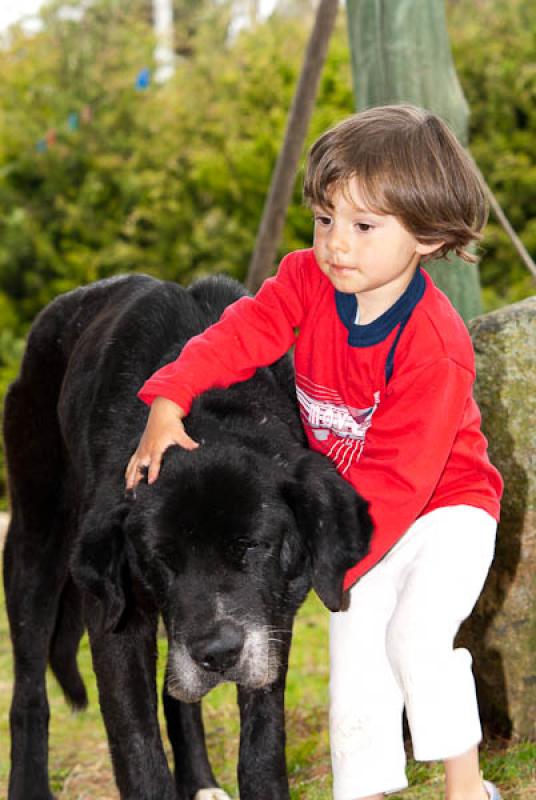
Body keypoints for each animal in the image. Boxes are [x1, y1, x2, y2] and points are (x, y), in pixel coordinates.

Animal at [3, 276, 372, 800]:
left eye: (251, 546)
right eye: (162, 559)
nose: (217, 654)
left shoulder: (274, 615)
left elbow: (262, 741)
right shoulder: (116, 619)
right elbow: (136, 744)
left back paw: (201, 783)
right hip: (35, 543)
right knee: (29, 685)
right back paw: (29, 784)